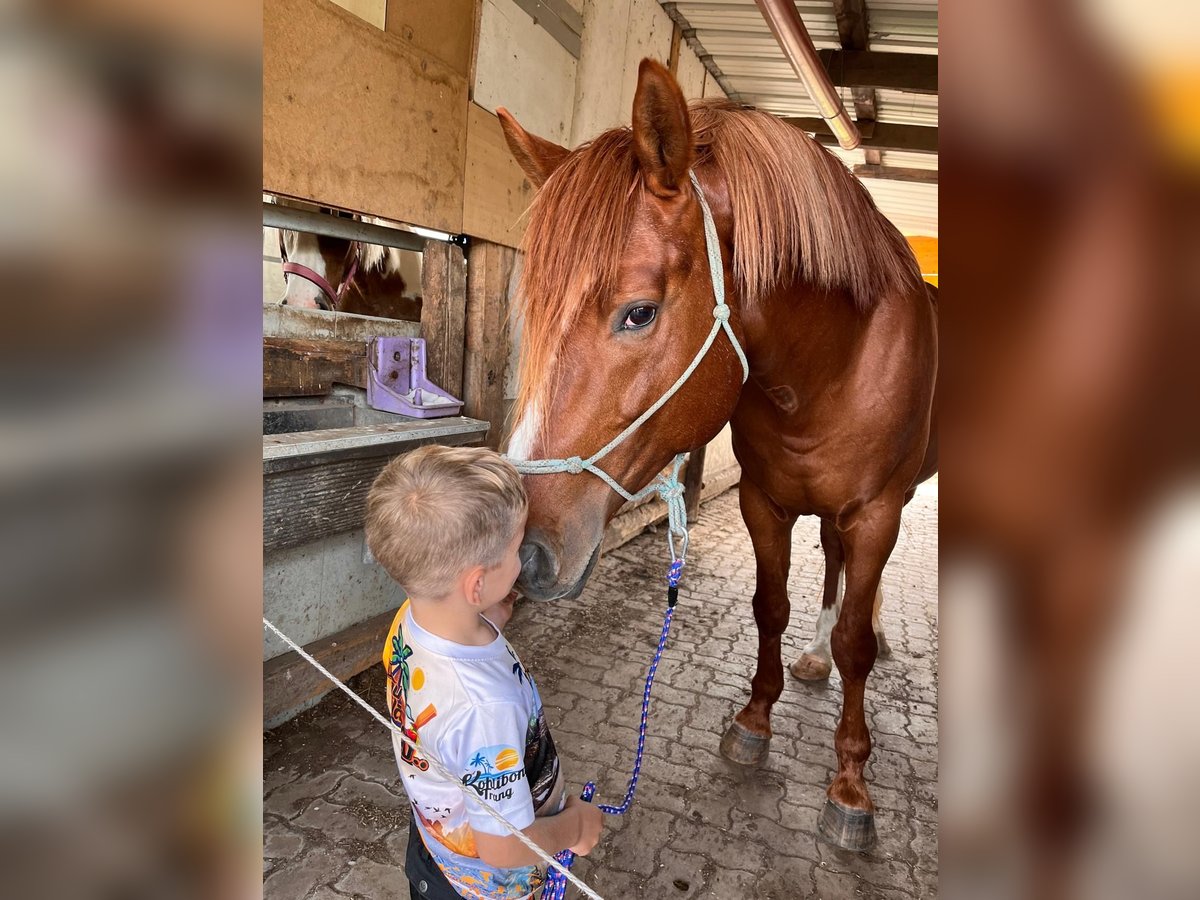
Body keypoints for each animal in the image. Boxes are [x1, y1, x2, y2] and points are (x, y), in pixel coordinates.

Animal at [496, 58, 936, 854]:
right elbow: (770, 607)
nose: (521, 553)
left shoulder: (878, 511)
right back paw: (814, 656)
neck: (832, 365)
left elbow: (858, 640)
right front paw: (755, 721)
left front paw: (852, 787)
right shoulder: (765, 500)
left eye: (638, 312)